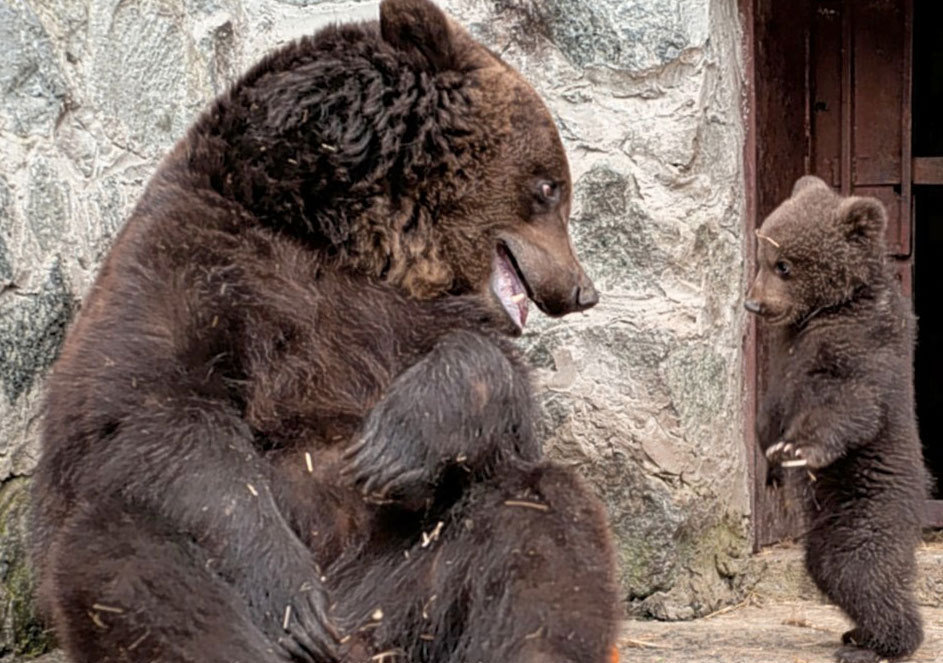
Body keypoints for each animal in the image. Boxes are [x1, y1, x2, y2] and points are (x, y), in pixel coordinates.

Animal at [29, 1, 620, 663]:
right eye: (550, 187)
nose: (582, 291)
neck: (345, 234)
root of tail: (362, 636)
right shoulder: (188, 261)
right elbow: (155, 411)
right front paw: (292, 600)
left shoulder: (403, 320)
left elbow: (499, 397)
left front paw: (392, 445)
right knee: (124, 555)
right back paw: (296, 631)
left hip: (407, 573)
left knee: (541, 519)